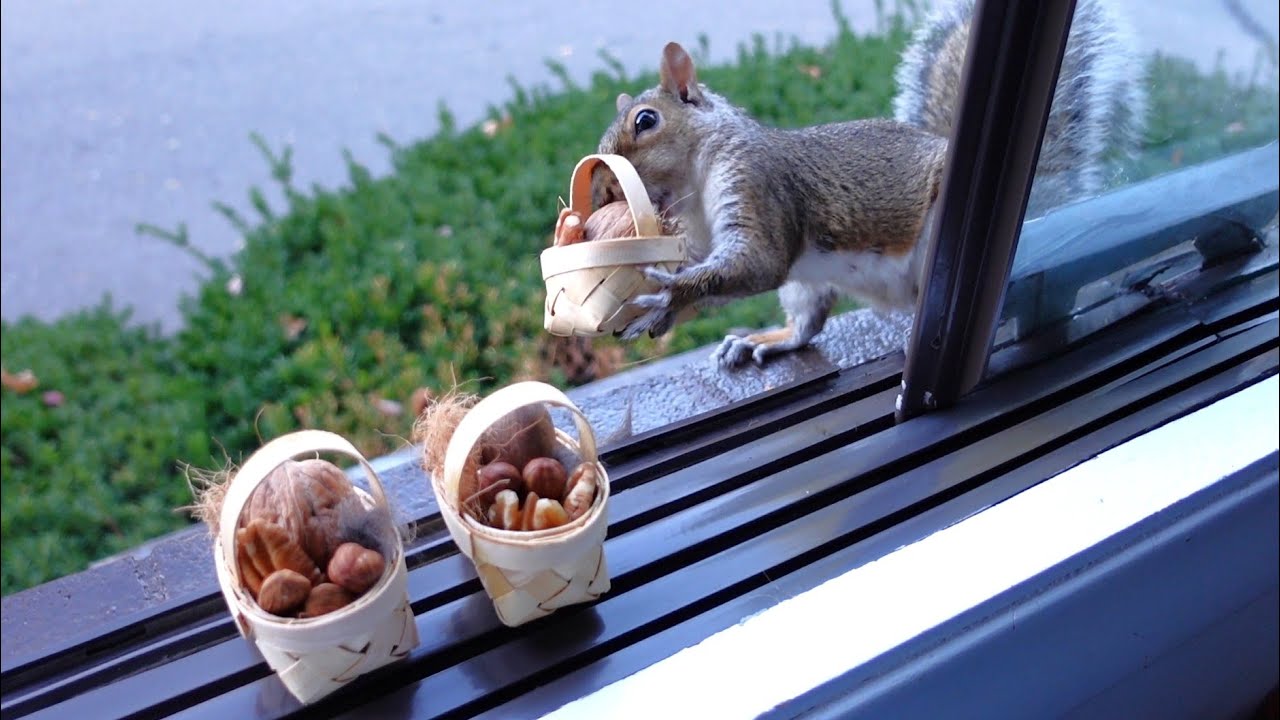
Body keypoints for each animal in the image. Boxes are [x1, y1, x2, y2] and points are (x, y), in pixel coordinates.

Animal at [593, 0, 1146, 368]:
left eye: (645, 121)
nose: (603, 185)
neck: (694, 189)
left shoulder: (758, 183)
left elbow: (758, 260)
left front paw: (672, 294)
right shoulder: (700, 237)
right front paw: (663, 311)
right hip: (808, 283)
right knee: (808, 323)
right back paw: (770, 338)